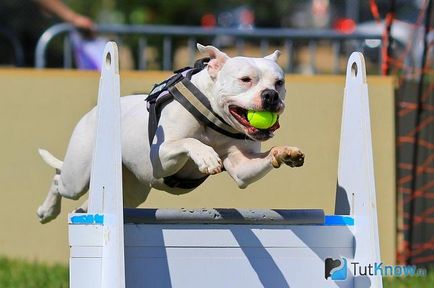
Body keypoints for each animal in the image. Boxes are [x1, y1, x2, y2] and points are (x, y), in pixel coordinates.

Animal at [37, 44, 304, 223]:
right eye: (245, 79)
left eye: (279, 82)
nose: (271, 95)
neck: (215, 118)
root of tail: (94, 112)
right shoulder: (162, 157)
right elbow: (189, 141)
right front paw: (206, 156)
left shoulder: (241, 167)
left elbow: (252, 166)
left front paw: (285, 153)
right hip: (78, 175)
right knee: (59, 179)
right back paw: (47, 211)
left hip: (130, 193)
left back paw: (82, 211)